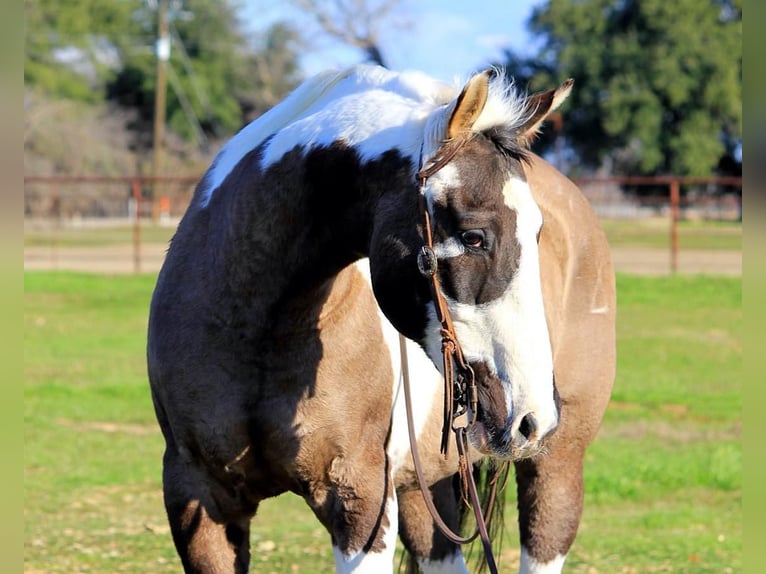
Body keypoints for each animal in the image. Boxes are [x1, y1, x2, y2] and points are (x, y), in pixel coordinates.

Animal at [148, 64, 616, 574]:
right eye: (473, 237)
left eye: (537, 233)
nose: (532, 416)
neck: (261, 331)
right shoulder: (200, 499)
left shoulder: (361, 500)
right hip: (424, 485)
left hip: (556, 466)